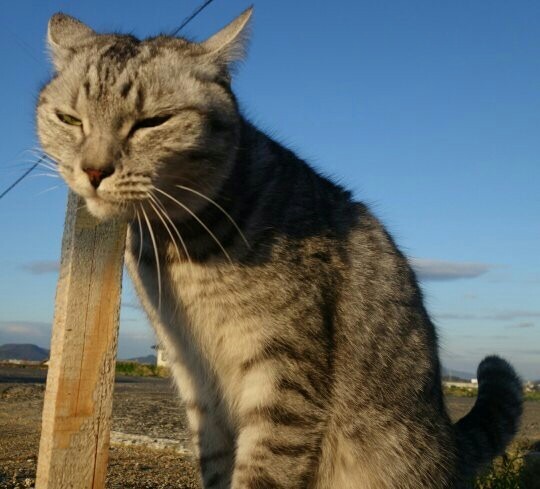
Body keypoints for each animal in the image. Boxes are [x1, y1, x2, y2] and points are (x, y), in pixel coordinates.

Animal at [38, 8, 524, 488]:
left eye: (152, 122)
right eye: (69, 119)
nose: (93, 170)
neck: (177, 246)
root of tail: (450, 442)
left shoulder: (284, 369)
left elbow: (264, 470)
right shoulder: (193, 374)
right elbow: (216, 463)